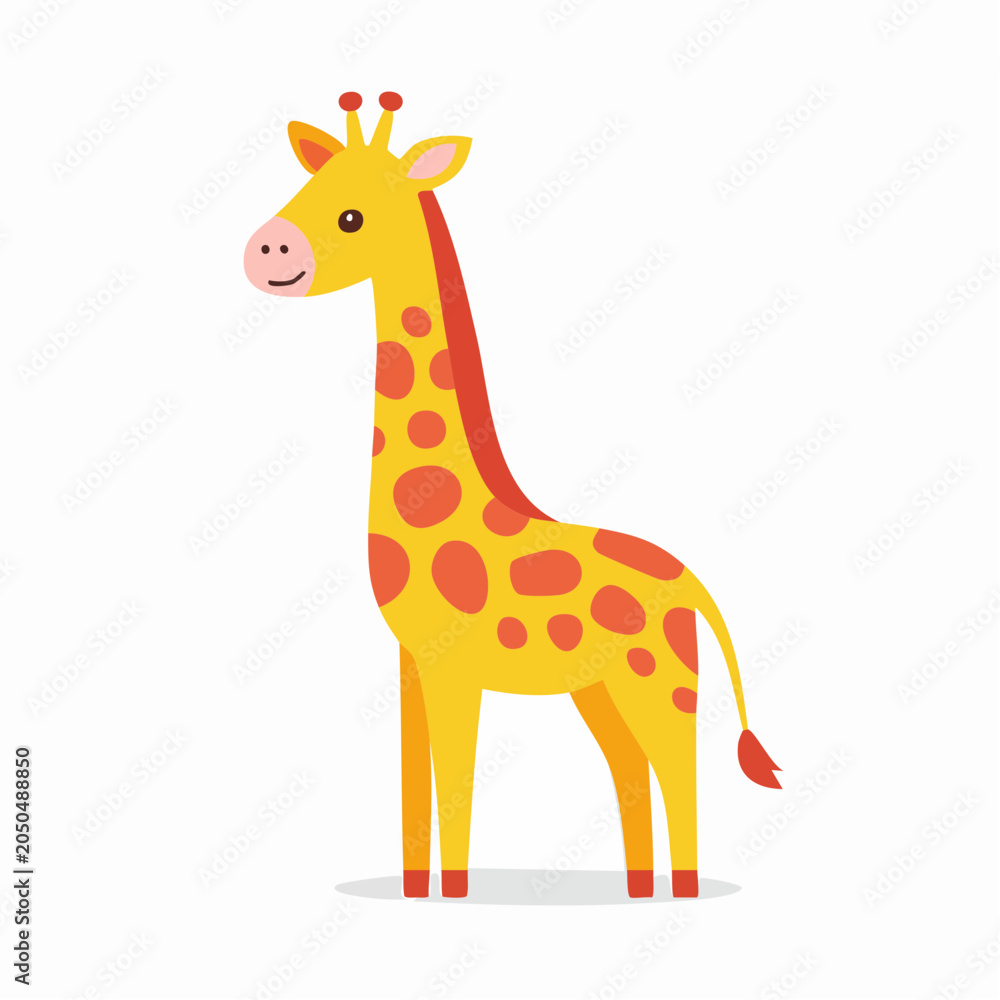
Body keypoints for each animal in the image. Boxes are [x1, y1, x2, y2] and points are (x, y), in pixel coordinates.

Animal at [244, 92, 781, 900]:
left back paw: (681, 891)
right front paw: (415, 894)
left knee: (678, 771)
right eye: (307, 188)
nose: (266, 249)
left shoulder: (453, 668)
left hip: (659, 681)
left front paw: (456, 894)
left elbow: (457, 787)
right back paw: (637, 889)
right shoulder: (409, 664)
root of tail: (692, 584)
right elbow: (412, 788)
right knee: (631, 770)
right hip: (600, 690)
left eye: (352, 216)